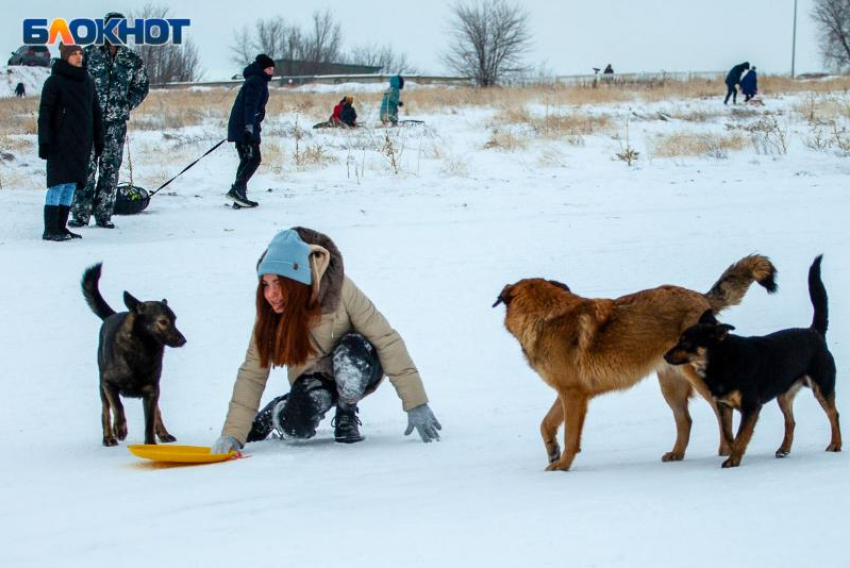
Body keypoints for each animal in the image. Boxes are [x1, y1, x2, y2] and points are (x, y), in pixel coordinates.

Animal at [80, 264, 186, 446]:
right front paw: (120, 428)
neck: (143, 351)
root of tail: (112, 315)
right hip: (102, 388)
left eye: (175, 320)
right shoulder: (108, 384)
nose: (184, 340)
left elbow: (150, 421)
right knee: (105, 411)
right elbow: (118, 407)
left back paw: (163, 433)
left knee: (157, 411)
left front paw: (150, 444)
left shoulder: (152, 391)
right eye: (163, 321)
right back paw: (108, 437)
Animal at [490, 255, 776, 472]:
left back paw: (726, 450)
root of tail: (702, 299)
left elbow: (571, 436)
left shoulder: (574, 395)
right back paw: (677, 454)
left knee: (720, 412)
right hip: (670, 386)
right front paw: (553, 451)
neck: (546, 319)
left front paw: (562, 465)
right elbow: (546, 424)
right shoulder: (568, 392)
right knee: (685, 420)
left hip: (698, 379)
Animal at [664, 255, 840, 468]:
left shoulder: (750, 407)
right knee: (791, 421)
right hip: (784, 394)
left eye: (686, 342)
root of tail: (814, 332)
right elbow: (729, 434)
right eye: (679, 339)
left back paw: (836, 444)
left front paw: (733, 460)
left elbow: (741, 435)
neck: (723, 360)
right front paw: (733, 454)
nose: (664, 356)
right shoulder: (724, 406)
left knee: (834, 414)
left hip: (822, 386)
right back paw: (784, 448)